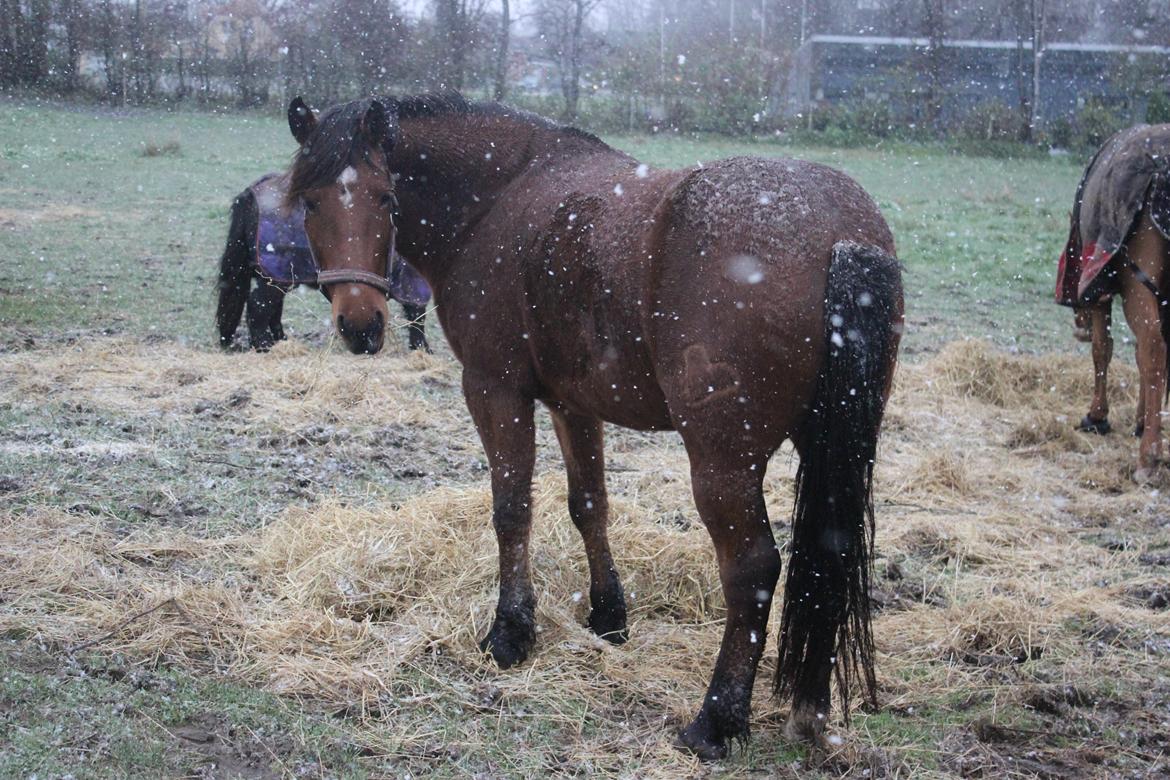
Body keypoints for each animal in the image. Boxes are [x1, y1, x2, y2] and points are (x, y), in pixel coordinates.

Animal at [214, 171, 430, 355]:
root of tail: (252, 193)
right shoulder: (414, 285)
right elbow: (417, 317)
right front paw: (422, 348)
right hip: (275, 278)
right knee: (258, 307)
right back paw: (265, 346)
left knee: (272, 310)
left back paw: (280, 341)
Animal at [283, 94, 903, 757]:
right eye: (311, 201)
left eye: (385, 199)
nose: (360, 324)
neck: (497, 197)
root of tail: (836, 231)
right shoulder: (572, 403)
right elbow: (589, 506)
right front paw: (608, 616)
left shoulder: (494, 389)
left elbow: (512, 510)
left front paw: (511, 631)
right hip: (831, 450)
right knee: (829, 555)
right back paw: (809, 713)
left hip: (723, 462)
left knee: (754, 569)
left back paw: (715, 720)